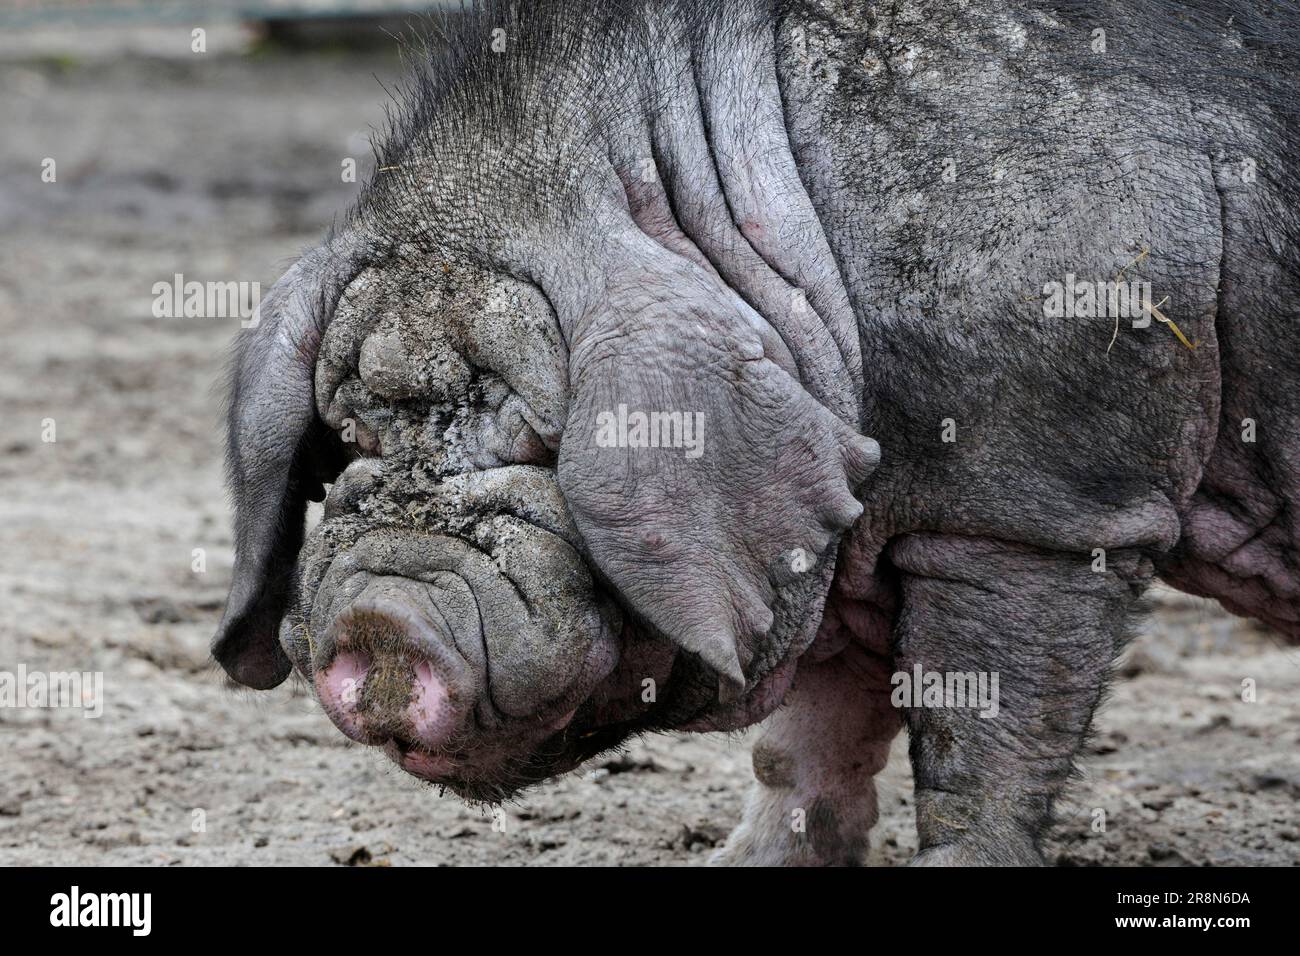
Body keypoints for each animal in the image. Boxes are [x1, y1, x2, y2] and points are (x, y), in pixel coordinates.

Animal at [212, 0, 1300, 865]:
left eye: (542, 441)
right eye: (347, 441)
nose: (380, 617)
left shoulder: (1046, 506)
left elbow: (987, 734)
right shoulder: (821, 520)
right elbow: (804, 744)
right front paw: (743, 861)